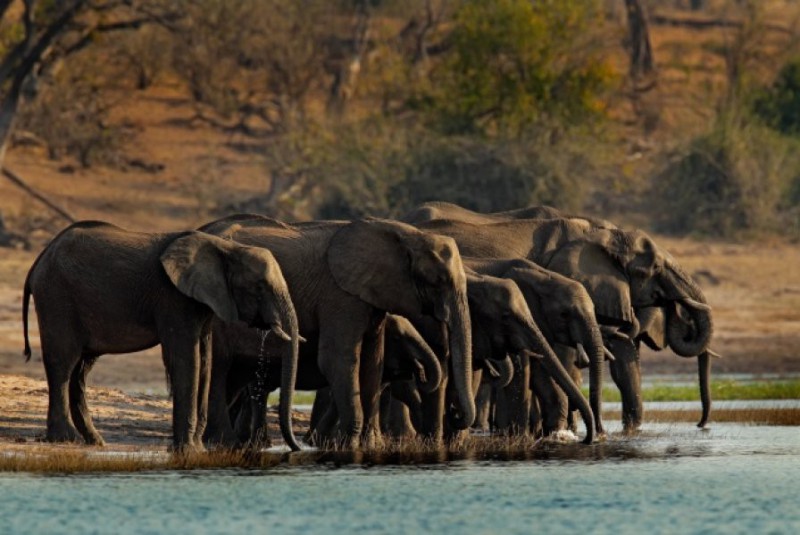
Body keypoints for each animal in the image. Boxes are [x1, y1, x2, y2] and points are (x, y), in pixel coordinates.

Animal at [22, 221, 304, 452]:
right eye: (259, 287)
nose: (297, 448)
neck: (228, 248)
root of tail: (38, 260)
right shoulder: (173, 298)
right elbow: (187, 360)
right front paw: (187, 450)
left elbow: (205, 361)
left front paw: (197, 448)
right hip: (56, 297)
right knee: (63, 362)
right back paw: (67, 439)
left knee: (81, 370)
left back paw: (94, 441)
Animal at [198, 214, 478, 448]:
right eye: (438, 281)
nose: (454, 412)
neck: (406, 233)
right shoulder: (339, 295)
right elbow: (339, 359)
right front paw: (350, 444)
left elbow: (372, 362)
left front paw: (370, 444)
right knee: (220, 369)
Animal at [410, 214, 716, 432]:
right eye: (653, 268)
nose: (700, 424)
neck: (603, 235)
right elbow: (563, 359)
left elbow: (622, 363)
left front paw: (629, 432)